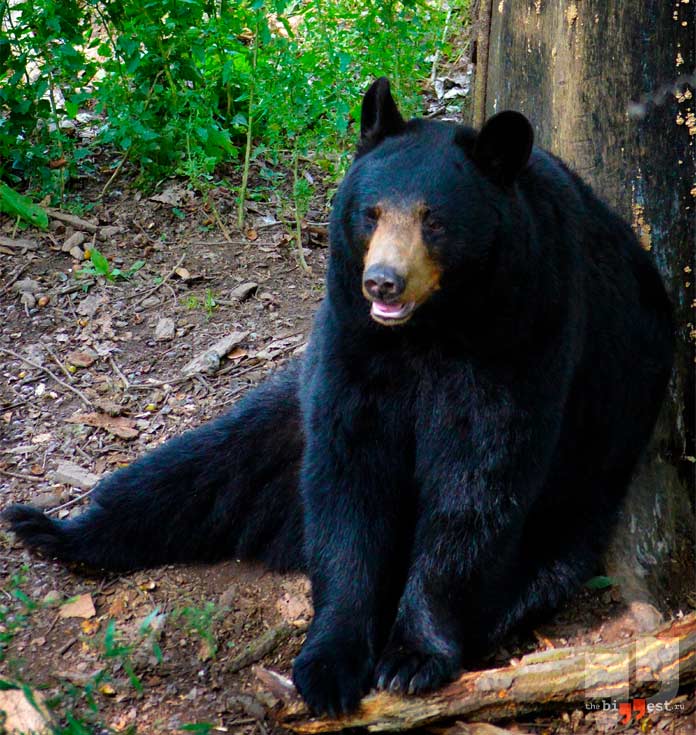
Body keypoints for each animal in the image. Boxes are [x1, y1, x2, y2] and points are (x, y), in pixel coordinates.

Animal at [2, 80, 672, 720]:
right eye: (370, 213)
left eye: (434, 220)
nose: (383, 282)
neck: (433, 330)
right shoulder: (353, 341)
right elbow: (349, 475)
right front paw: (329, 661)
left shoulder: (526, 329)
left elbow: (478, 479)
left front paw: (412, 656)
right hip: (276, 422)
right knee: (194, 470)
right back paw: (53, 529)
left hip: (586, 483)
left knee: (542, 559)